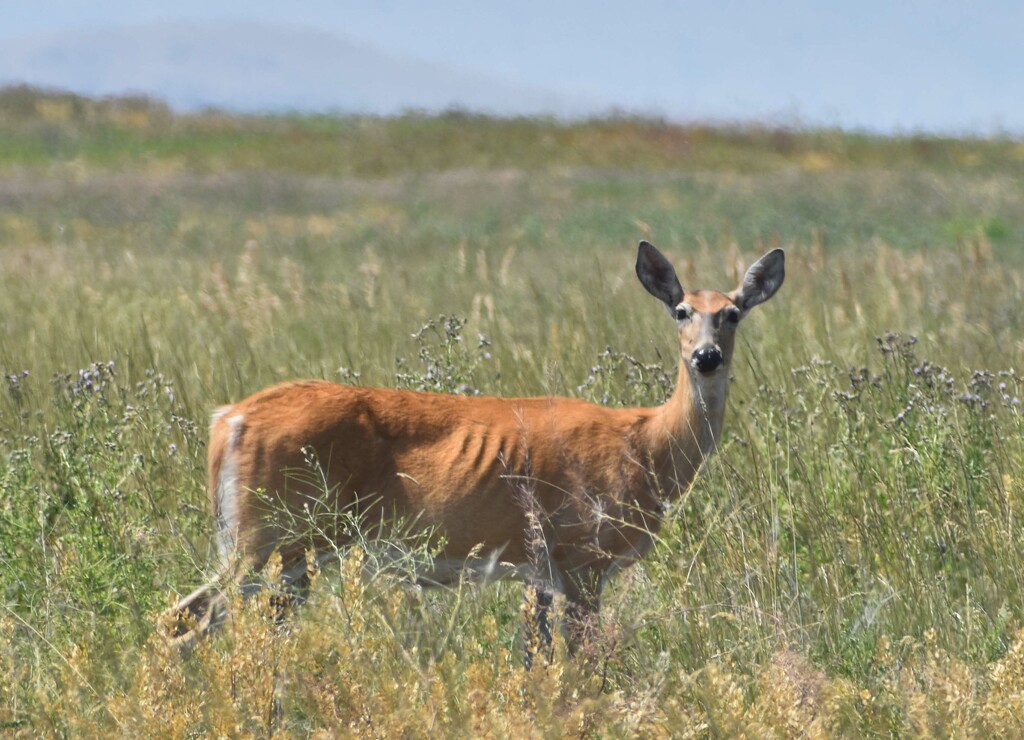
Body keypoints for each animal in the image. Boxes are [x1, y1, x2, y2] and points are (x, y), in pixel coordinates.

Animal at [165, 240, 782, 655]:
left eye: (732, 313)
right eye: (681, 311)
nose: (706, 357)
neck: (646, 444)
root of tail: (228, 419)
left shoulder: (541, 570)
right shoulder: (583, 557)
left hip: (286, 552)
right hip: (268, 536)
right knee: (183, 620)